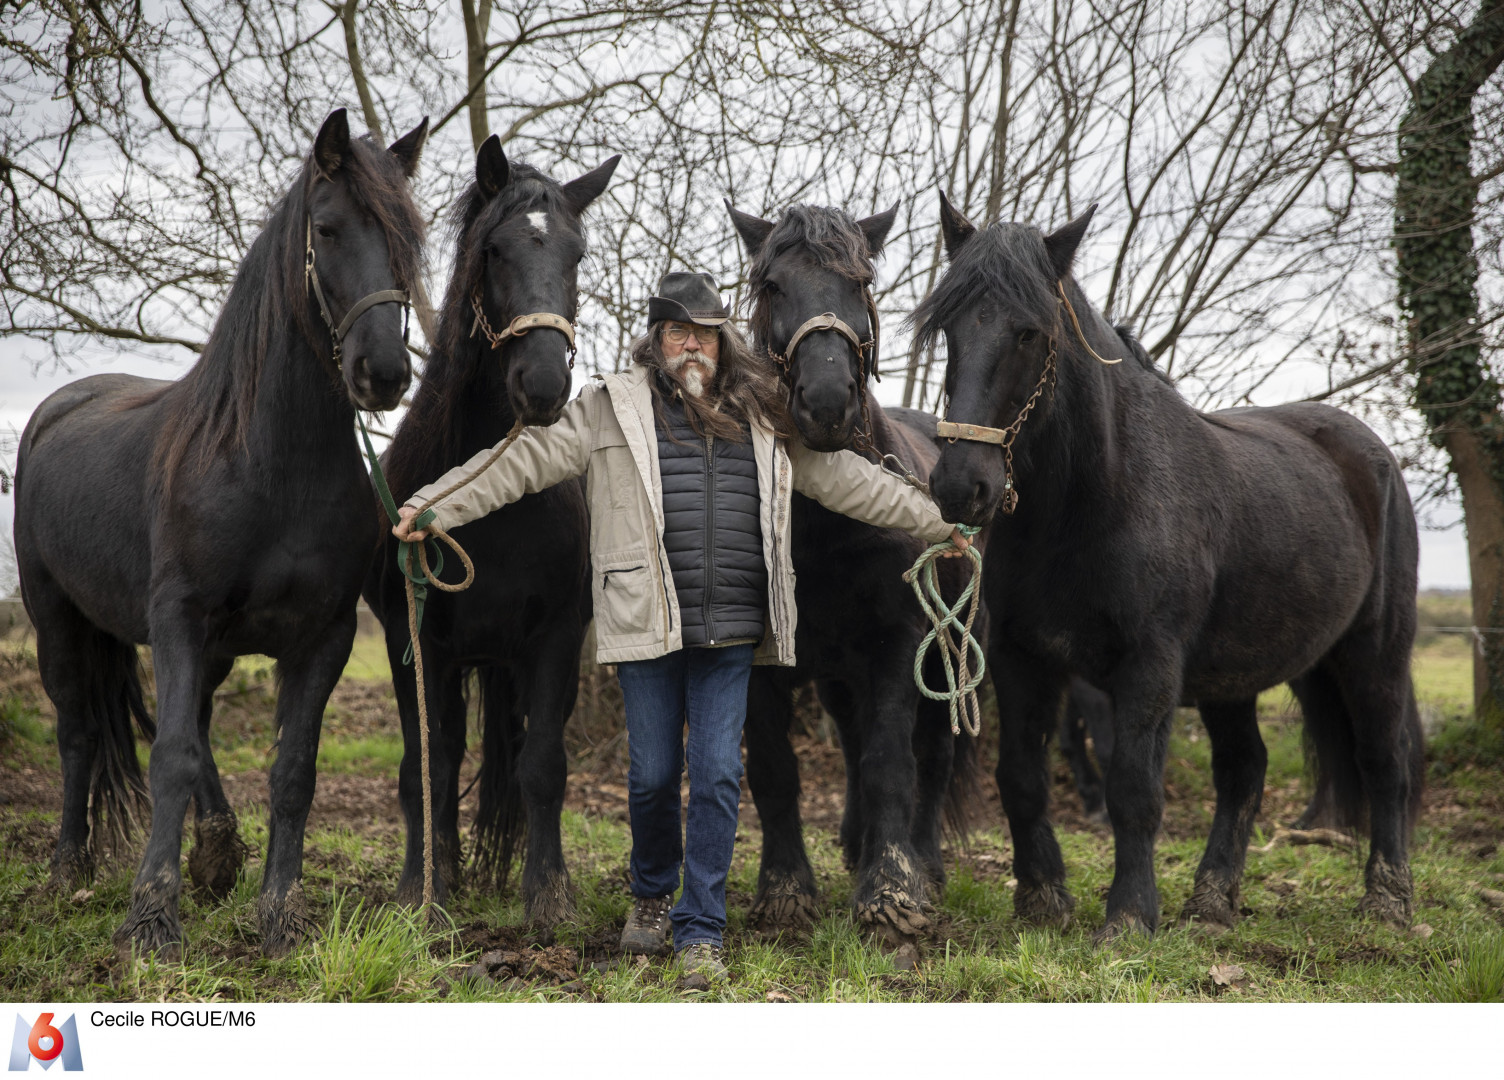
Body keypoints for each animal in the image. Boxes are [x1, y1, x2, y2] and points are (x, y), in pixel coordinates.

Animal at [15, 109, 429, 958]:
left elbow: (292, 770)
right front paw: (150, 921)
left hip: (208, 648)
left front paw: (281, 915)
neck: (271, 466)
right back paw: (71, 869)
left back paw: (218, 851)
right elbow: (168, 756)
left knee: (193, 726)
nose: (383, 373)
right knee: (79, 735)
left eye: (410, 238)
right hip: (59, 621)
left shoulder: (323, 636)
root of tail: (57, 407)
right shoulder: (180, 616)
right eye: (328, 229)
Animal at [364, 136, 618, 925]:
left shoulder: (555, 639)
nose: (542, 386)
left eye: (577, 253)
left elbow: (543, 767)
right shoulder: (413, 641)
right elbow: (428, 766)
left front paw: (548, 894)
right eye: (494, 250)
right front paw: (421, 892)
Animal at [726, 202, 981, 948]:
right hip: (840, 677)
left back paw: (921, 862)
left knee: (933, 757)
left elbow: (891, 764)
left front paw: (891, 893)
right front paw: (786, 891)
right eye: (772, 284)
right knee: (850, 738)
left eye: (862, 280)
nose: (827, 400)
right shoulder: (764, 661)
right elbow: (776, 770)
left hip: (945, 664)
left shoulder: (898, 649)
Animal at [918, 196, 1424, 937]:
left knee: (1384, 761)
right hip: (1253, 670)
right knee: (1244, 769)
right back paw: (1212, 900)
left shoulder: (1148, 665)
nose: (961, 485)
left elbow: (1134, 788)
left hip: (1372, 652)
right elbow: (1021, 778)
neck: (1093, 500)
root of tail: (1372, 453)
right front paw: (1043, 899)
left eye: (1030, 333)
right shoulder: (1020, 659)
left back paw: (1388, 900)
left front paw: (1129, 915)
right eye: (948, 329)